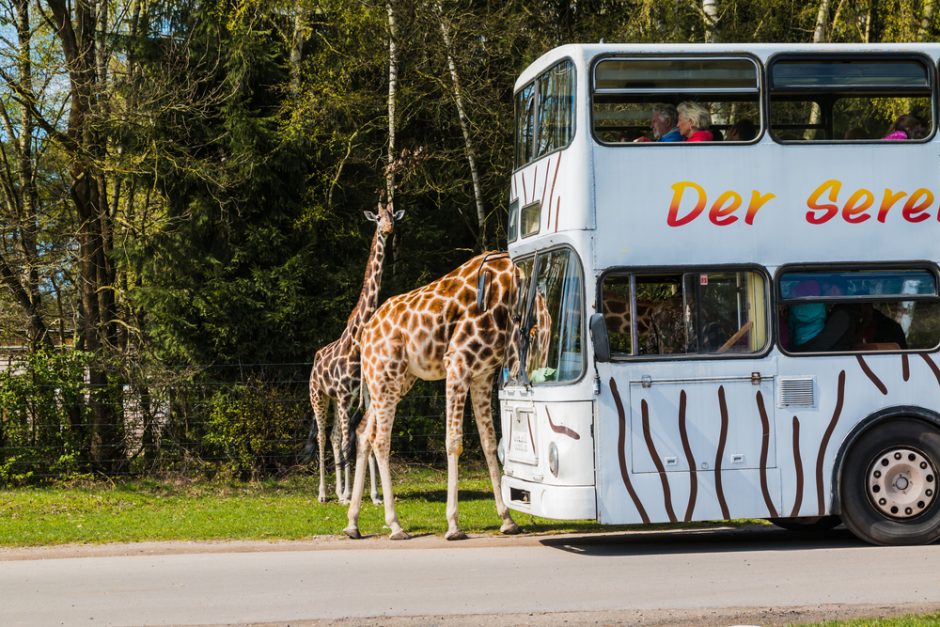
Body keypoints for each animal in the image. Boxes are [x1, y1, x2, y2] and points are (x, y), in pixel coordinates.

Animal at [304, 201, 400, 506]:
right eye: (378, 218)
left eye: (393, 217)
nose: (388, 229)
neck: (355, 340)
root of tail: (315, 361)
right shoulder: (345, 396)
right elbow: (349, 439)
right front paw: (348, 495)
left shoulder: (360, 395)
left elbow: (359, 438)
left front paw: (374, 496)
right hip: (318, 395)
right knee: (324, 437)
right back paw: (325, 494)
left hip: (336, 400)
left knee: (336, 436)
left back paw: (339, 491)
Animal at [346, 253, 552, 544]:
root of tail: (365, 335)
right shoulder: (457, 365)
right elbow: (454, 441)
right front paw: (453, 525)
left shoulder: (482, 375)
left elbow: (489, 442)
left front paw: (508, 520)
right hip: (386, 375)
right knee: (381, 440)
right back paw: (395, 525)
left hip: (394, 380)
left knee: (364, 431)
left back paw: (353, 524)